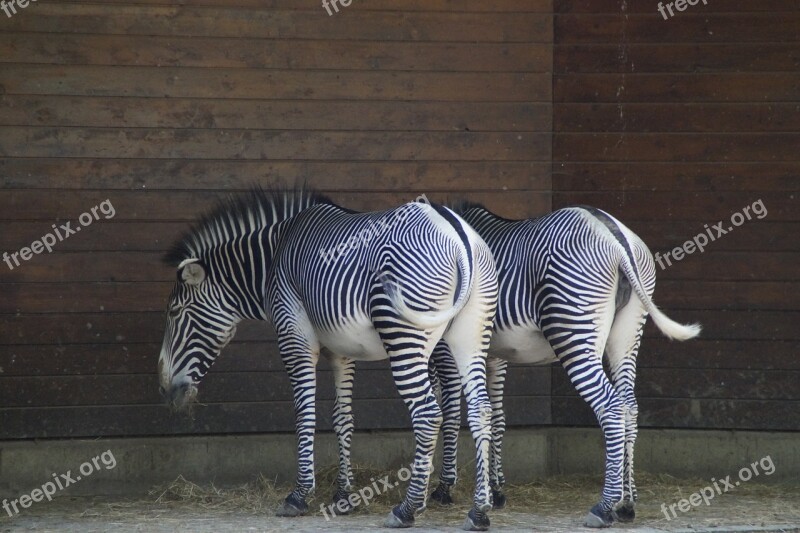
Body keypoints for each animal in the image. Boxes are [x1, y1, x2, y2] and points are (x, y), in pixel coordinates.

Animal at [156, 186, 500, 528]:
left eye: (174, 312)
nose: (163, 388)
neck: (273, 258)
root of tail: (456, 234)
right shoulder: (341, 351)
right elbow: (342, 417)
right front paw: (343, 496)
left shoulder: (294, 336)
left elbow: (304, 412)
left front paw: (299, 496)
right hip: (471, 336)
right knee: (481, 410)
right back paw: (479, 510)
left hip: (404, 334)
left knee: (427, 414)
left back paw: (407, 509)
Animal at [424, 204, 700, 528]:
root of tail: (614, 235)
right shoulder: (495, 354)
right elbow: (498, 417)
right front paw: (497, 489)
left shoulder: (449, 348)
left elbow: (452, 415)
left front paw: (445, 488)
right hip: (628, 334)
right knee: (630, 408)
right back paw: (627, 504)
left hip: (575, 329)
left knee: (611, 407)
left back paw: (604, 507)